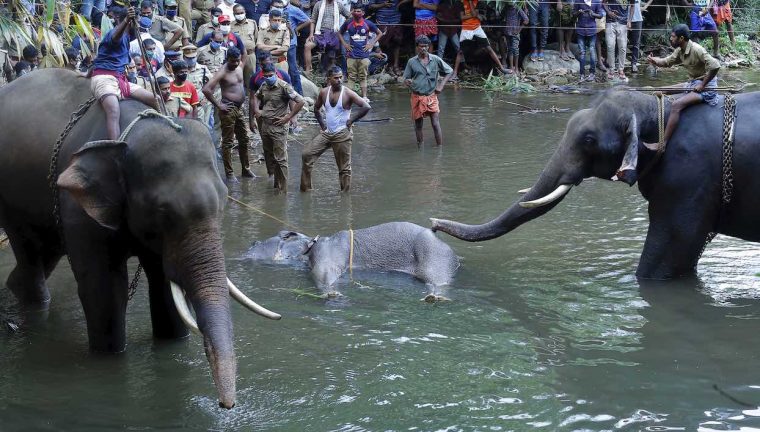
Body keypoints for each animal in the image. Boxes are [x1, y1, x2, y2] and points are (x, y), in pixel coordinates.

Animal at [0, 69, 280, 410]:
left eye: (225, 201)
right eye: (163, 211)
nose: (227, 406)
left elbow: (163, 284)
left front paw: (172, 344)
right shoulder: (78, 208)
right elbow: (104, 289)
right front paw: (109, 358)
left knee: (46, 251)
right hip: (10, 198)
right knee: (28, 250)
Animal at [245, 223, 458, 294]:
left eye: (254, 243)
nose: (250, 244)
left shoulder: (326, 255)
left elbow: (324, 275)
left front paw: (332, 294)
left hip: (433, 257)